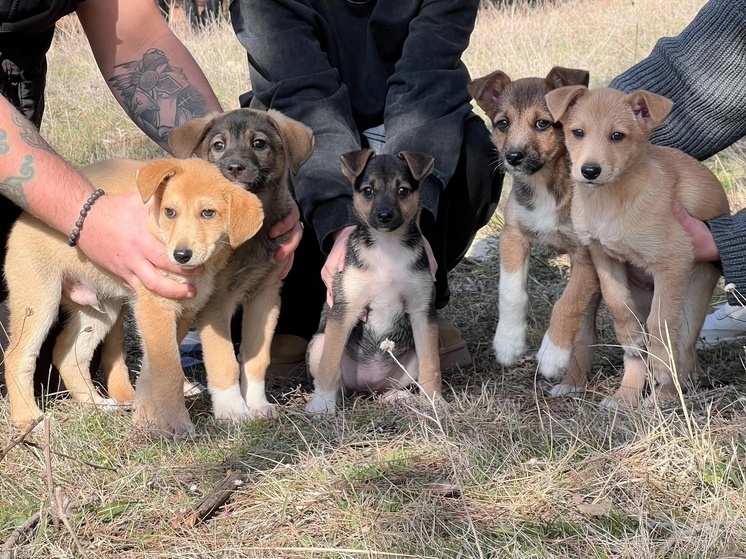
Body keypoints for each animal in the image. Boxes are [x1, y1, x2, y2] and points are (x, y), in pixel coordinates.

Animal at [2, 159, 264, 438]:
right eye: (170, 212)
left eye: (208, 213)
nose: (181, 255)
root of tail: (21, 220)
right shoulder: (155, 308)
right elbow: (169, 374)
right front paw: (177, 424)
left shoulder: (181, 313)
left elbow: (152, 373)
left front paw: (147, 418)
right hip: (40, 302)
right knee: (17, 357)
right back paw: (29, 418)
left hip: (100, 310)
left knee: (68, 353)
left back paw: (96, 404)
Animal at [169, 109, 314, 422]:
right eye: (218, 145)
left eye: (259, 143)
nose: (234, 167)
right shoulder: (215, 305)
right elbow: (224, 361)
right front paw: (233, 410)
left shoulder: (265, 297)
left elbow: (256, 358)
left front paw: (257, 404)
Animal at [304, 149, 438, 416]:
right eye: (368, 191)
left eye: (402, 191)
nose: (384, 216)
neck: (388, 247)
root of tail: (366, 387)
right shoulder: (344, 310)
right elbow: (328, 366)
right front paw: (322, 406)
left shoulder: (423, 312)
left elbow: (432, 365)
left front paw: (436, 402)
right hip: (319, 343)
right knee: (334, 378)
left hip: (410, 358)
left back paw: (396, 396)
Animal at [468, 68, 600, 396]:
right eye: (502, 123)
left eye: (543, 123)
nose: (513, 157)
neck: (545, 182)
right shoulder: (514, 236)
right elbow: (511, 290)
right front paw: (508, 342)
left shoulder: (586, 253)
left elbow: (568, 303)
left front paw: (552, 354)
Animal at [544, 87, 728, 410]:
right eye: (577, 132)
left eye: (618, 136)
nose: (589, 171)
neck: (610, 200)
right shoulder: (603, 257)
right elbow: (619, 306)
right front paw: (629, 337)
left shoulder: (673, 261)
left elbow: (660, 323)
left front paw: (663, 373)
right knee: (636, 354)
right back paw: (625, 395)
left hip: (692, 299)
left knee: (682, 350)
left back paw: (665, 394)